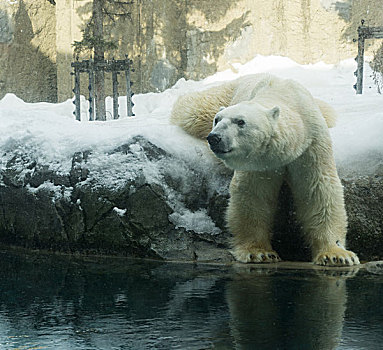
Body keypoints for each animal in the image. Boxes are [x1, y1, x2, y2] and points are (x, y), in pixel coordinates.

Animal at [171, 73, 360, 266]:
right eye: (217, 120)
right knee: (193, 109)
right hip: (226, 93)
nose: (215, 137)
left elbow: (318, 190)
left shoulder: (311, 144)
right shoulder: (258, 161)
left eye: (241, 121)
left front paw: (336, 255)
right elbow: (254, 194)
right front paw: (259, 253)